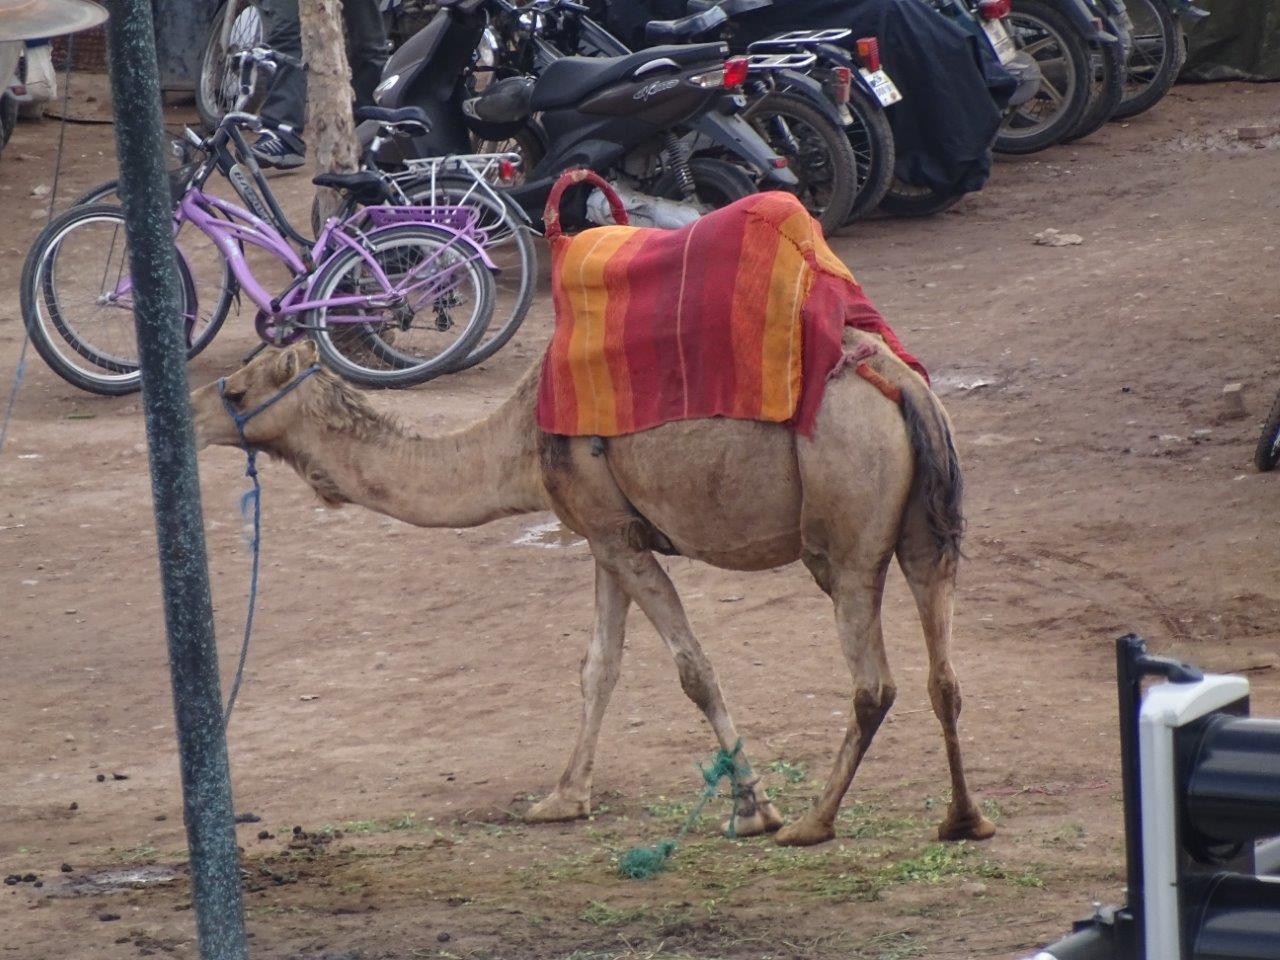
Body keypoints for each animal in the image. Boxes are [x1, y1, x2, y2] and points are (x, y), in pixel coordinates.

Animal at [190, 336, 995, 847]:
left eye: (238, 387)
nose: (191, 412)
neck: (520, 440)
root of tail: (907, 390)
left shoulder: (612, 532)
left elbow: (692, 670)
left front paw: (754, 810)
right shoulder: (604, 537)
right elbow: (597, 668)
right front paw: (561, 799)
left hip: (845, 532)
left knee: (874, 681)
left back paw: (811, 824)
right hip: (927, 527)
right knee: (945, 675)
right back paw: (964, 820)